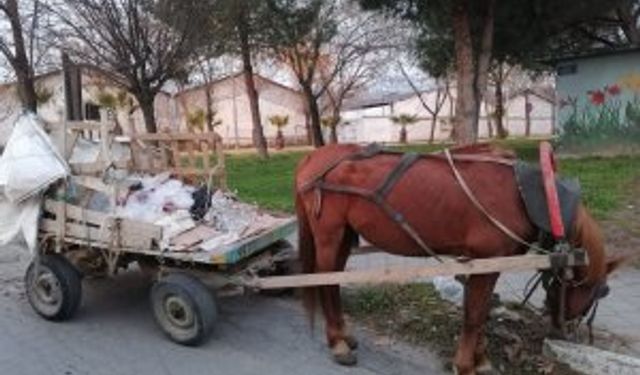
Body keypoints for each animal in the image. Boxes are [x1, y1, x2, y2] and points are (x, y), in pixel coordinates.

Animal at [296, 143, 624, 375]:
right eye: (599, 292)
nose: (567, 332)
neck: (527, 194)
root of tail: (313, 158)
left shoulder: (484, 263)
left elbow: (480, 312)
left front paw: (480, 360)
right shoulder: (487, 260)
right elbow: (475, 315)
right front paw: (466, 365)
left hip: (343, 238)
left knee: (333, 281)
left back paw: (343, 335)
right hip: (329, 236)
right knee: (325, 283)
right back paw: (337, 343)